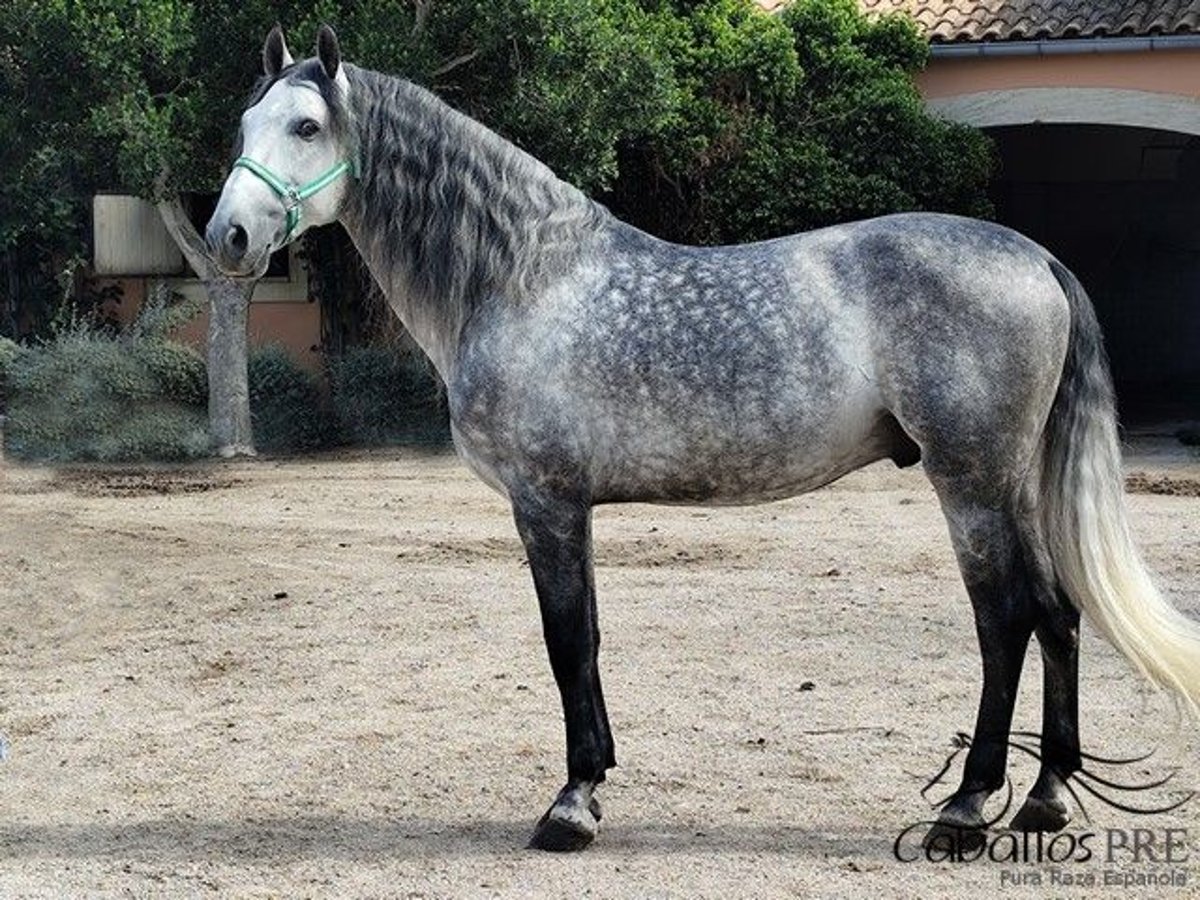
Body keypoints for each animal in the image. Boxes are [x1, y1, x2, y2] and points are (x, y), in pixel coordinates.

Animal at [206, 24, 1200, 852]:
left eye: (305, 126)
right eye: (246, 121)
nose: (229, 236)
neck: (524, 276)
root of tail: (1036, 257)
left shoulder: (545, 500)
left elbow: (565, 641)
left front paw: (570, 806)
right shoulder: (572, 506)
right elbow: (588, 637)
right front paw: (597, 779)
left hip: (971, 482)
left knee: (1007, 621)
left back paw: (966, 810)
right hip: (1011, 483)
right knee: (1060, 614)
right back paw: (1046, 798)